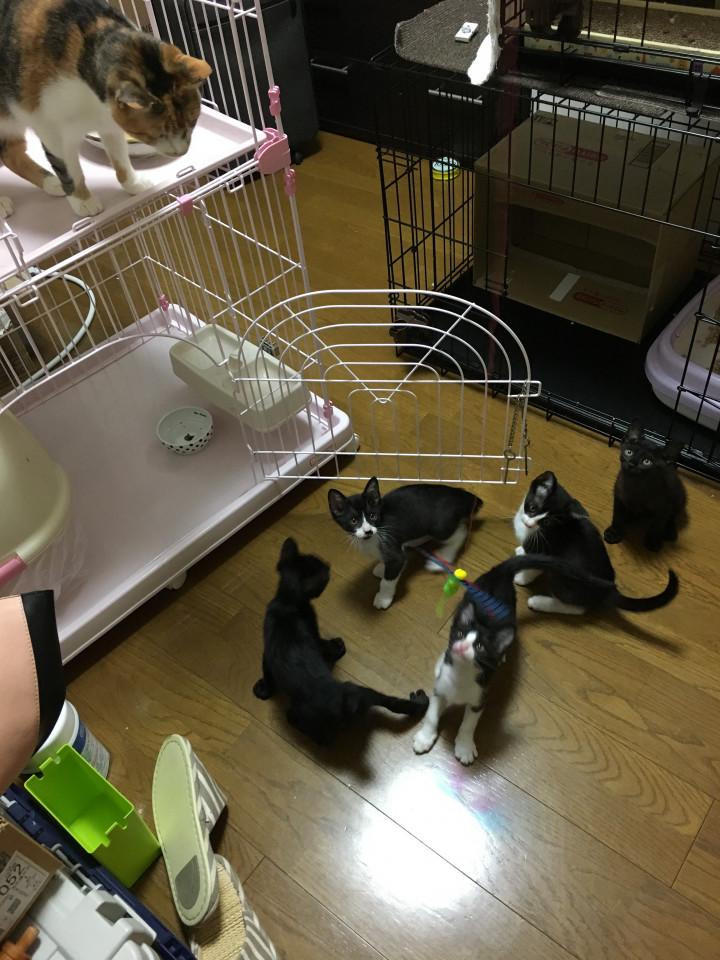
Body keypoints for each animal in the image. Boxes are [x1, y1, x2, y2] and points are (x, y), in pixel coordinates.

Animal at [0, 0, 211, 218]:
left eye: (193, 122)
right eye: (156, 135)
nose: (181, 152)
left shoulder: (110, 123)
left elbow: (120, 157)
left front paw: (133, 183)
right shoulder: (52, 129)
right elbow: (70, 170)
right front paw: (82, 200)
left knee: (10, 155)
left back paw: (51, 183)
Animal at [253, 537, 429, 745]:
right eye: (323, 571)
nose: (328, 564)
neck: (286, 600)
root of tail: (341, 706)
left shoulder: (267, 651)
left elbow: (267, 671)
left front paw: (264, 690)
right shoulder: (312, 630)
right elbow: (322, 644)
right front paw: (337, 647)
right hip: (359, 693)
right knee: (391, 703)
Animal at [328, 477, 482, 610]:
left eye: (372, 516)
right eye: (353, 521)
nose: (368, 531)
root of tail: (459, 493)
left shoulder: (393, 550)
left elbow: (389, 577)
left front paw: (383, 598)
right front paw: (382, 567)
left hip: (439, 526)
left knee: (461, 532)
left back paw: (443, 557)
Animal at [513, 470, 678, 615]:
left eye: (547, 522)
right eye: (532, 508)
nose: (528, 523)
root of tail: (608, 589)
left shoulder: (546, 550)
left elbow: (534, 567)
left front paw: (522, 578)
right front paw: (522, 552)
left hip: (564, 578)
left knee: (577, 608)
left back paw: (539, 602)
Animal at [604, 421, 687, 552]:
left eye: (647, 462)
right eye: (629, 452)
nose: (632, 463)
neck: (635, 485)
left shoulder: (663, 508)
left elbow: (657, 525)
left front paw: (653, 541)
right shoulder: (619, 496)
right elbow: (617, 516)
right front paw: (614, 532)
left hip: (679, 496)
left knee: (672, 515)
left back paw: (669, 531)